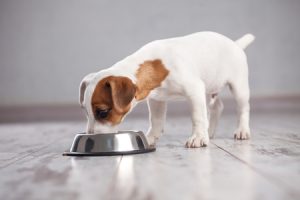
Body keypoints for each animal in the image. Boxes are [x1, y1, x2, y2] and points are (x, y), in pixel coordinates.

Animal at [78, 31, 254, 147]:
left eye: (103, 112)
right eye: (85, 112)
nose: (90, 137)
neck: (157, 66)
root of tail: (236, 44)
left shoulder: (194, 90)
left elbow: (197, 117)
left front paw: (198, 137)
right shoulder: (157, 100)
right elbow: (156, 121)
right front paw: (150, 138)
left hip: (238, 88)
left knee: (243, 109)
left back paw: (242, 130)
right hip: (210, 90)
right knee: (217, 107)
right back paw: (209, 131)